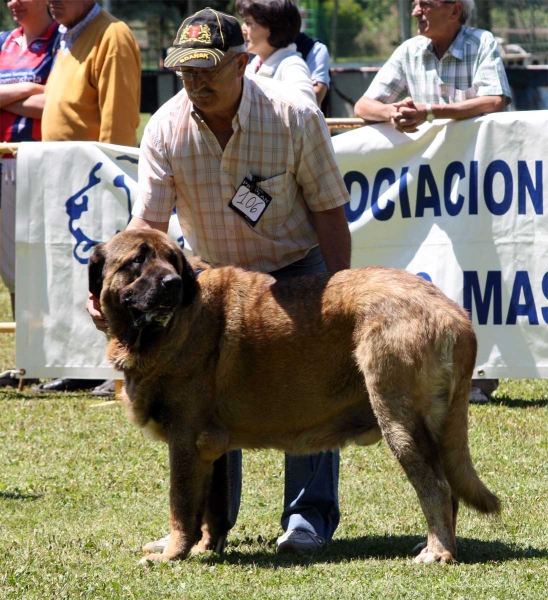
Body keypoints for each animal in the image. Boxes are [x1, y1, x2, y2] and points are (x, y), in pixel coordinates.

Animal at [89, 227, 500, 564]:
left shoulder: (186, 440)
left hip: (399, 419)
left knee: (437, 486)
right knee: (448, 487)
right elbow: (211, 507)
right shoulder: (211, 447)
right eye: (137, 260)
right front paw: (204, 547)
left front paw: (173, 554)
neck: (173, 326)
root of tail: (454, 313)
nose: (172, 282)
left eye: (172, 260)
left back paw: (437, 552)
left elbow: (181, 503)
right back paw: (437, 545)